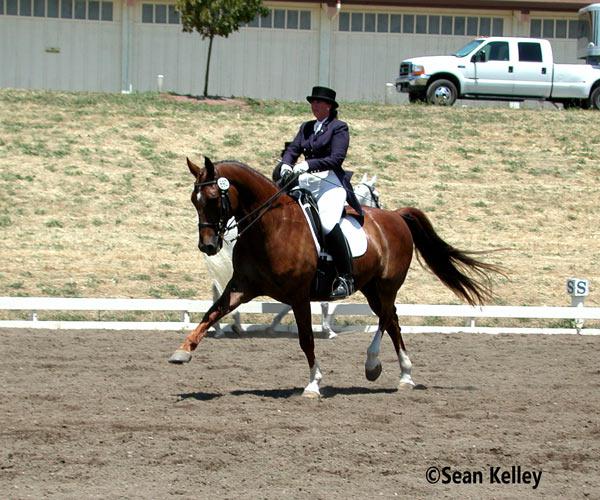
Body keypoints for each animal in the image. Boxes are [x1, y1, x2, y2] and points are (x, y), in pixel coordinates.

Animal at [202, 174, 380, 338]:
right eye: (376, 196)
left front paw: (273, 325)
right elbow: (322, 303)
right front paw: (327, 330)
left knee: (217, 289)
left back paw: (221, 328)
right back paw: (233, 324)